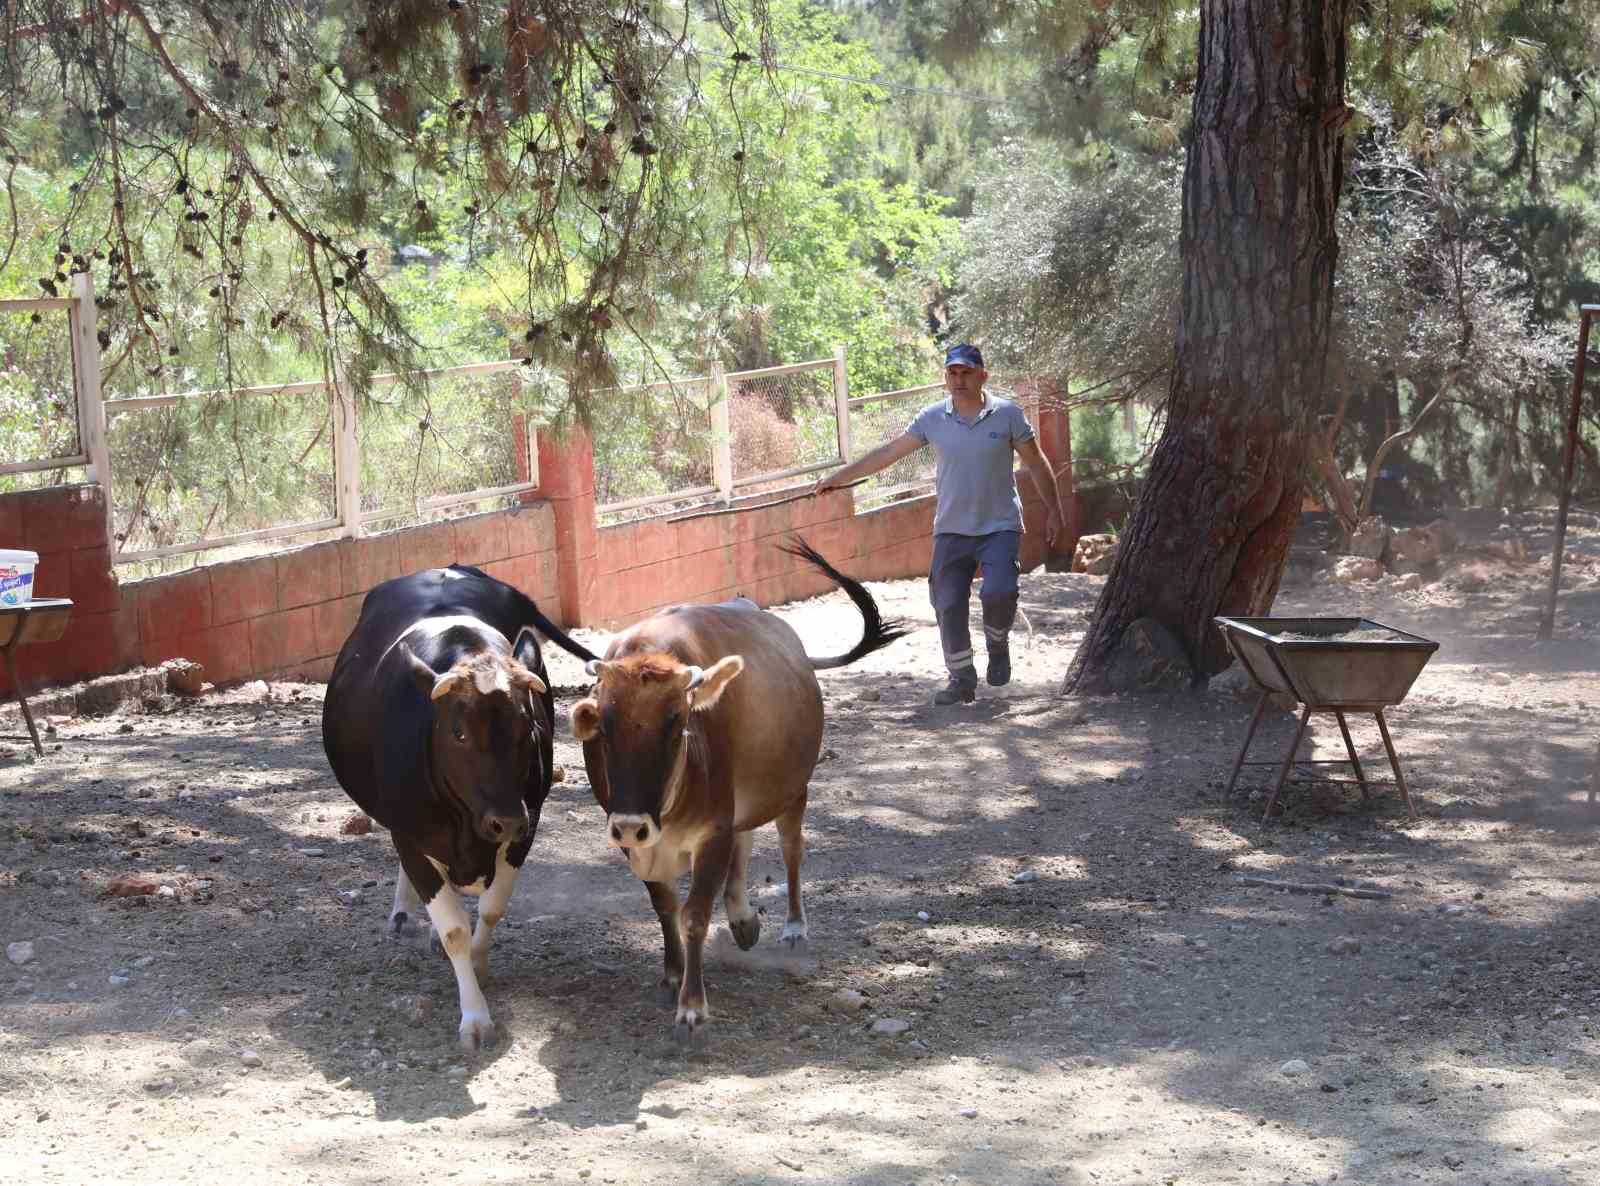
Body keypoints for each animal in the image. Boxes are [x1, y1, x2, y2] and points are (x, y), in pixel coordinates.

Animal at [321, 563, 598, 1043]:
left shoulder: (527, 824)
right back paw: (403, 914)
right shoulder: (410, 834)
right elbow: (453, 930)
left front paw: (480, 966)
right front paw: (475, 1016)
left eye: (528, 725)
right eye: (459, 732)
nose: (504, 819)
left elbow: (491, 909)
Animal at [572, 537, 902, 1037]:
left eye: (677, 722)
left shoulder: (713, 831)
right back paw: (743, 918)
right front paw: (673, 973)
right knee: (744, 845)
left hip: (793, 792)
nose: (631, 823)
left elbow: (693, 914)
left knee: (791, 851)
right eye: (604, 727)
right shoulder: (639, 840)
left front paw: (692, 1004)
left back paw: (793, 927)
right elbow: (665, 905)